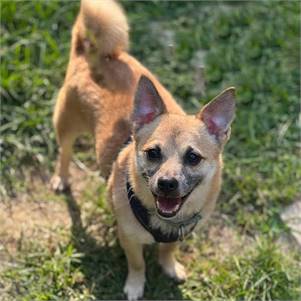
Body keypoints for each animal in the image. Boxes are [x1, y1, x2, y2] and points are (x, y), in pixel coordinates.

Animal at [51, 1, 234, 298]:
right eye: (153, 153)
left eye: (193, 157)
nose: (167, 183)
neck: (164, 220)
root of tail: (90, 51)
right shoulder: (129, 239)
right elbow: (137, 264)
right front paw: (135, 286)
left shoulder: (178, 235)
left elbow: (167, 250)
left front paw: (169, 267)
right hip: (66, 125)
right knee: (64, 152)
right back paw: (61, 178)